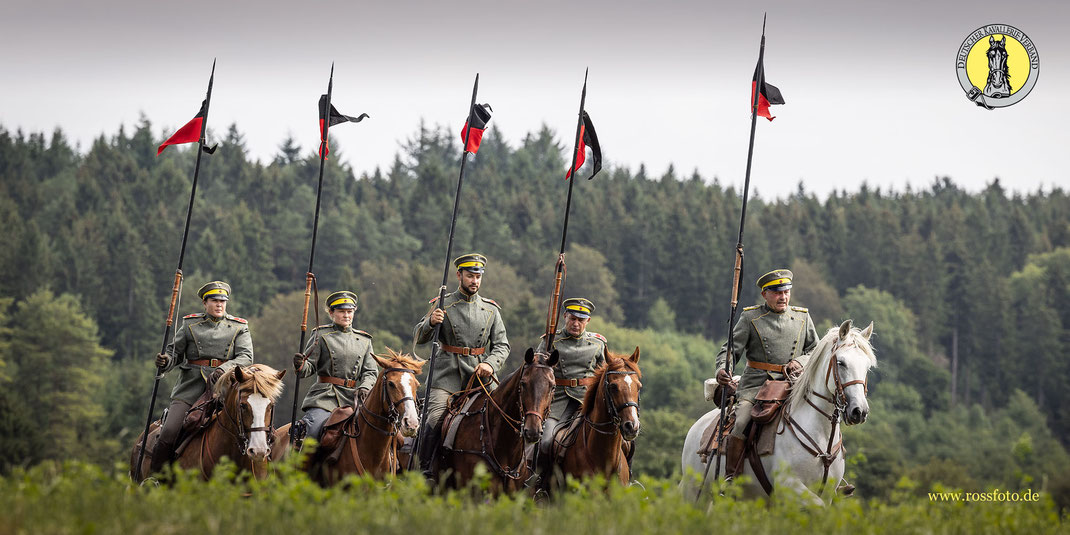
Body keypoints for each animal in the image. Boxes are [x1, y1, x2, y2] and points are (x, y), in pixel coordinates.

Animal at [680, 318, 873, 502]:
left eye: (867, 366)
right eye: (841, 362)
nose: (859, 411)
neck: (822, 439)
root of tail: (697, 426)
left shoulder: (826, 493)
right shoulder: (790, 487)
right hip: (695, 492)